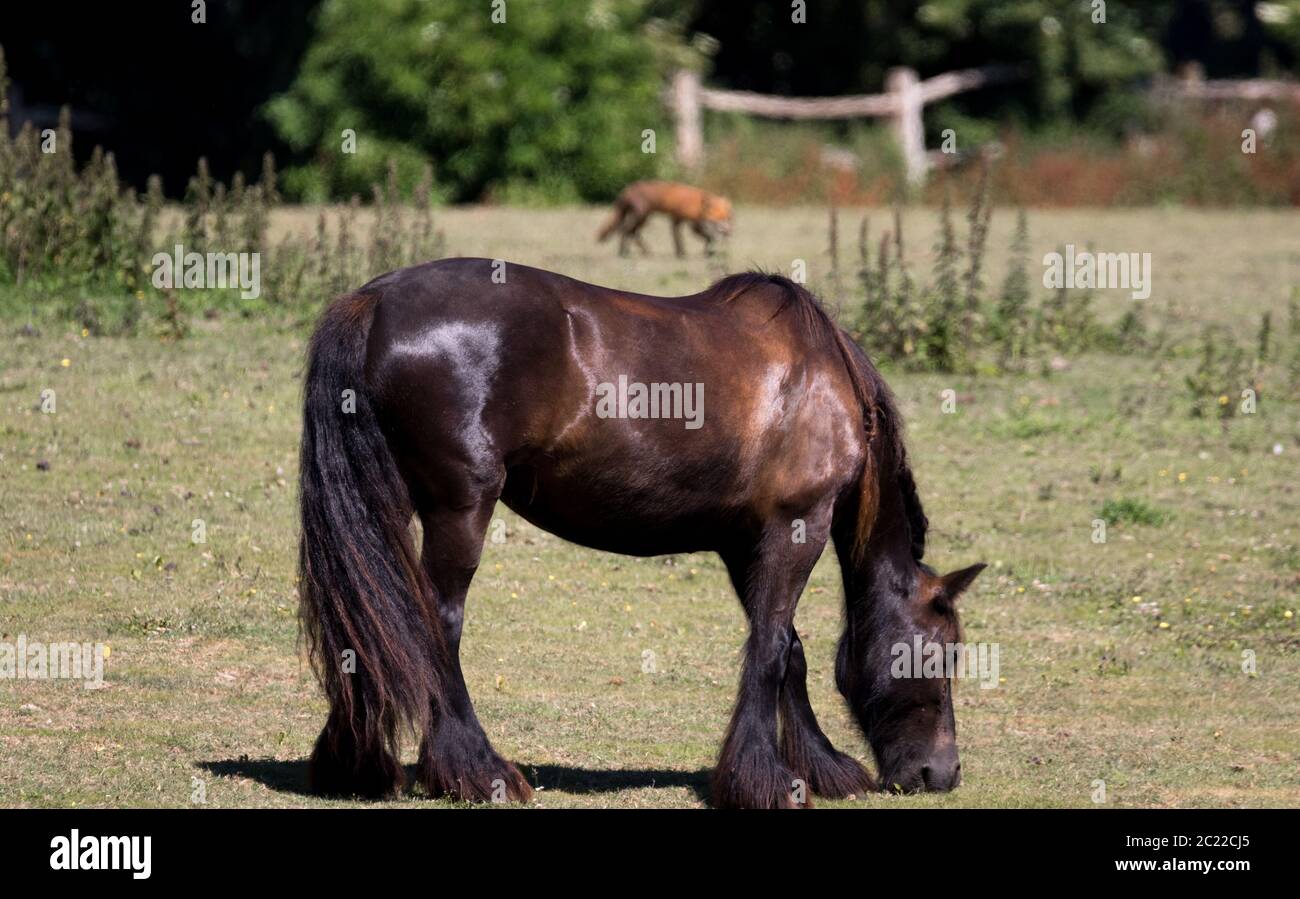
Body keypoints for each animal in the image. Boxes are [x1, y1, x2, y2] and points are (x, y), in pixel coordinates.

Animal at [297, 257, 985, 808]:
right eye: (942, 653)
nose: (941, 773)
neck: (820, 382)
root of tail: (376, 300)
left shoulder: (744, 542)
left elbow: (787, 648)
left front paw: (820, 768)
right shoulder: (798, 524)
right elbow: (771, 648)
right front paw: (768, 781)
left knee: (371, 615)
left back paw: (355, 764)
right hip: (459, 509)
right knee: (434, 623)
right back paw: (476, 770)